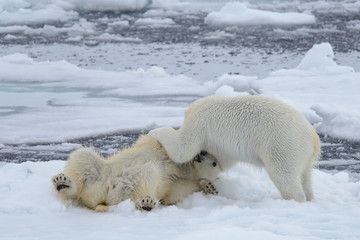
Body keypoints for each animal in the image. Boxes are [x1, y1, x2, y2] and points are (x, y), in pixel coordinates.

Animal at [52, 135, 222, 212]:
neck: (186, 170)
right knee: (83, 156)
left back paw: (146, 204)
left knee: (148, 173)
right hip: (100, 173)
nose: (201, 154)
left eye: (214, 163)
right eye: (207, 152)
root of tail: (104, 196)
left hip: (122, 189)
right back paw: (63, 182)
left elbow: (173, 195)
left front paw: (209, 187)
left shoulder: (181, 184)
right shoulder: (157, 148)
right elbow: (155, 141)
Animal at [149, 94, 320, 202]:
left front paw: (154, 131)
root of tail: (313, 137)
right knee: (305, 177)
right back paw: (309, 197)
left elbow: (183, 148)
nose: (201, 155)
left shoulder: (200, 123)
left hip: (282, 145)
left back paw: (293, 199)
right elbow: (223, 161)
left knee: (284, 176)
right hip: (303, 155)